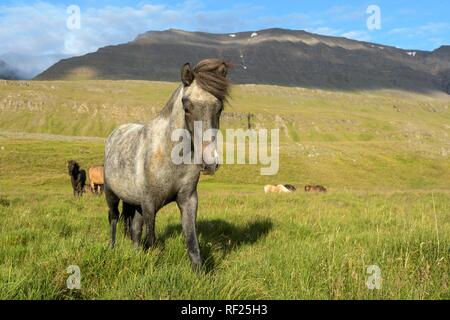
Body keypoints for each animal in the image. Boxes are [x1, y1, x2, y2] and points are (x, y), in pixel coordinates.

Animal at [103, 58, 230, 270]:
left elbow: (192, 242)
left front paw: (199, 273)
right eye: (187, 107)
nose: (210, 162)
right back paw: (112, 249)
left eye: (219, 108)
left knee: (135, 229)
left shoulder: (188, 200)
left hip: (134, 203)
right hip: (111, 194)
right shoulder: (149, 204)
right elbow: (152, 240)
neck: (170, 156)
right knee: (113, 219)